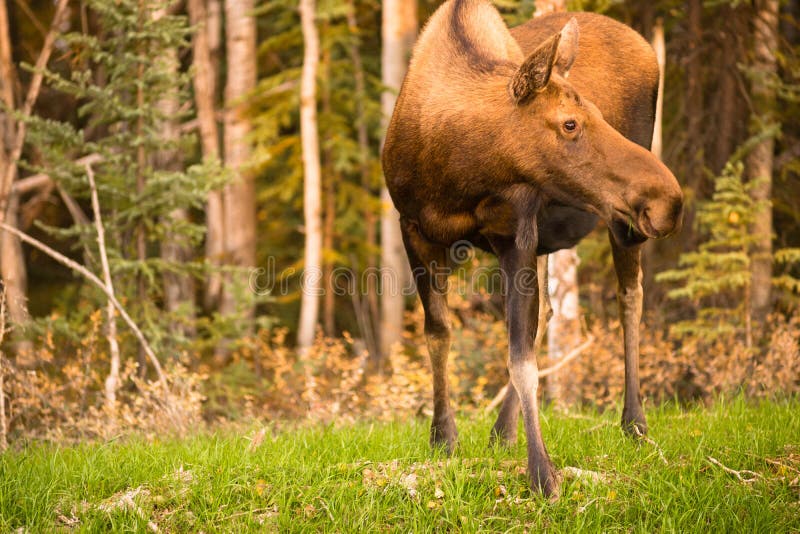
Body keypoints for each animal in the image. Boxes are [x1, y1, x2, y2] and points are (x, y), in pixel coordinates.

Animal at [384, 0, 684, 498]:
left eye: (598, 113)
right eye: (570, 123)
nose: (670, 201)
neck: (457, 173)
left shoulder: (515, 233)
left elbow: (519, 358)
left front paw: (542, 472)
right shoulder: (414, 229)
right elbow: (439, 334)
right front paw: (443, 438)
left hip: (622, 224)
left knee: (630, 297)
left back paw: (634, 421)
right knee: (548, 312)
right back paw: (502, 431)